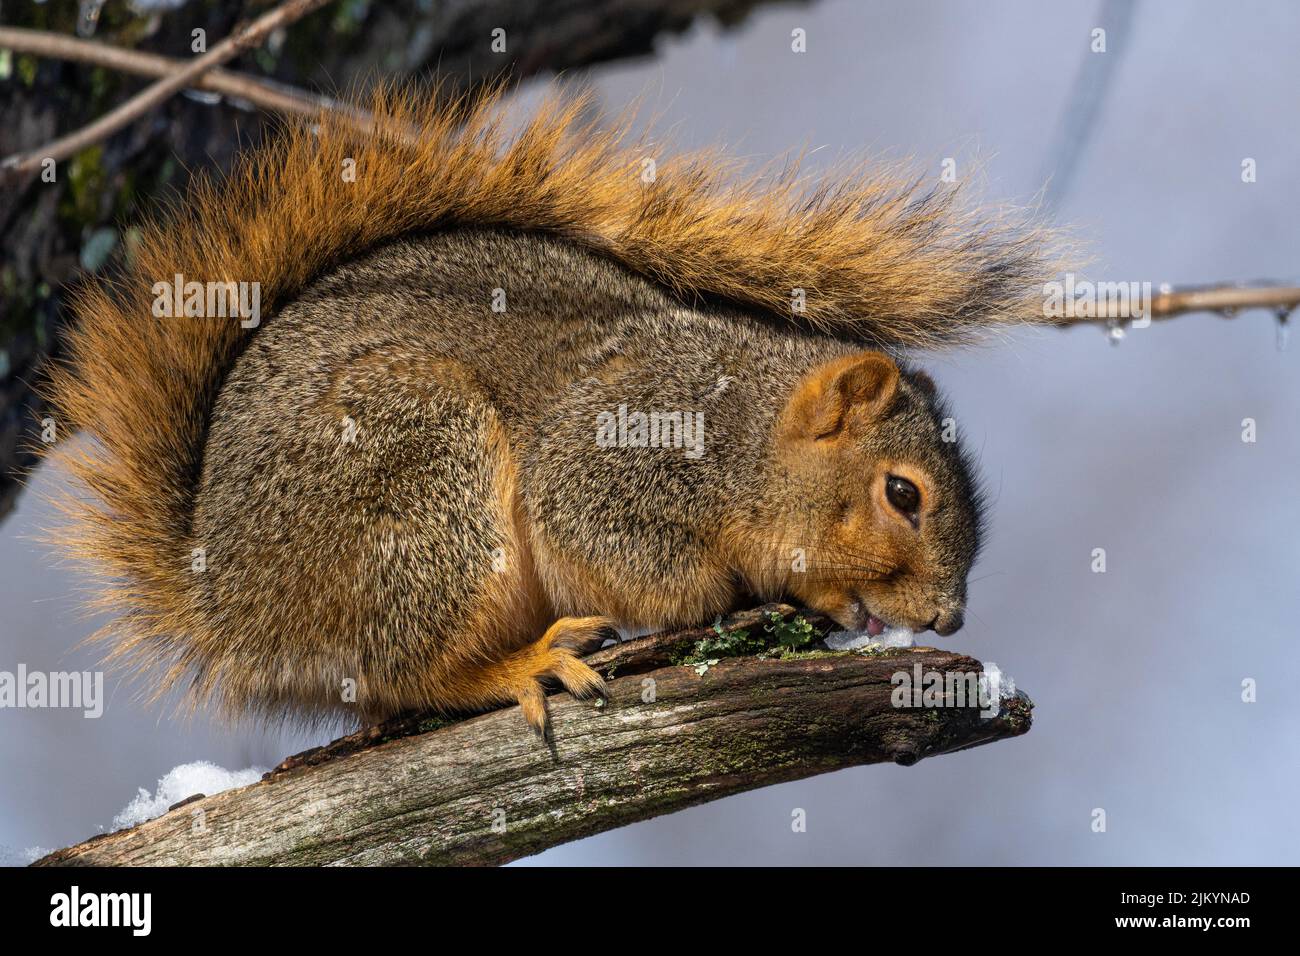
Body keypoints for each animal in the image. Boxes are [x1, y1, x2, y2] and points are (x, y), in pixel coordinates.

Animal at [45, 85, 1066, 738]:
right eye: (903, 494)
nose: (949, 621)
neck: (744, 435)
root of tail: (224, 599)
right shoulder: (616, 450)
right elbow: (649, 566)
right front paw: (791, 592)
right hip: (418, 468)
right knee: (410, 669)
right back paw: (519, 665)